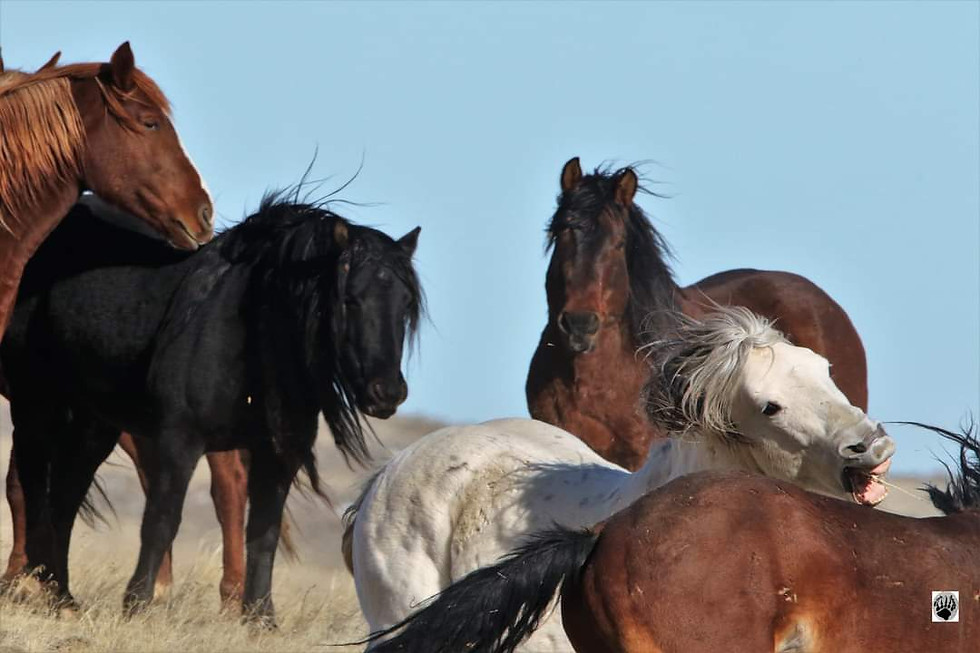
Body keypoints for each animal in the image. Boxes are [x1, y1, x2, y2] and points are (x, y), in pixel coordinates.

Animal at [0, 191, 423, 624]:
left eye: (406, 302)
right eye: (349, 299)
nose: (387, 392)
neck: (248, 340)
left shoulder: (277, 454)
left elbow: (264, 532)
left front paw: (261, 617)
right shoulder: (179, 442)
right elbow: (162, 520)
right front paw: (137, 603)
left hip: (94, 423)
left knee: (65, 497)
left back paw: (62, 595)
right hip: (36, 405)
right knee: (32, 488)